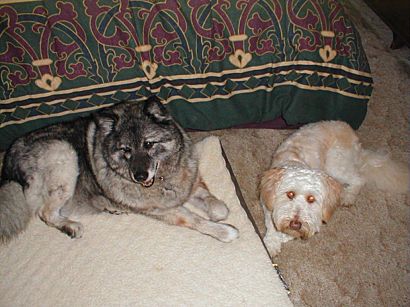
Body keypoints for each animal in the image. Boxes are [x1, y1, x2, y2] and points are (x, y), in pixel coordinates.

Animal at [0, 97, 239, 244]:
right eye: (126, 150)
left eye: (148, 144)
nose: (140, 176)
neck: (162, 179)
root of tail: (10, 157)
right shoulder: (162, 209)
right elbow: (194, 219)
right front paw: (224, 231)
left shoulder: (188, 184)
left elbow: (217, 206)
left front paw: (217, 213)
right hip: (64, 154)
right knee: (45, 212)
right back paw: (70, 226)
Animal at [262, 120, 408, 258]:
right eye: (290, 194)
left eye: (311, 199)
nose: (295, 224)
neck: (294, 161)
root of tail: (350, 131)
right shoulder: (268, 202)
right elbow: (272, 224)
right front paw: (271, 243)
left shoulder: (313, 220)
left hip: (335, 165)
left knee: (359, 179)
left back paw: (348, 196)